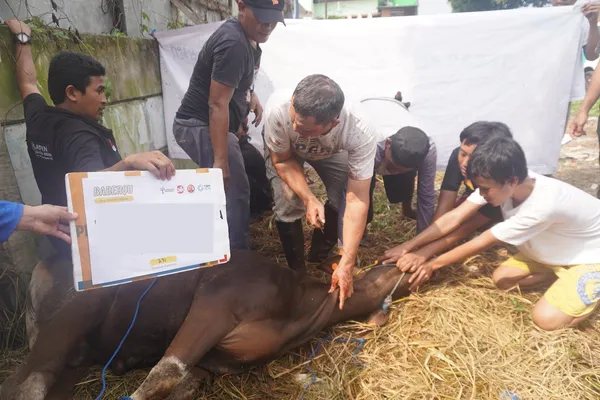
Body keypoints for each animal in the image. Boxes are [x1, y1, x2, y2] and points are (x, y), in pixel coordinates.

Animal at [0, 248, 410, 398]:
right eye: (391, 265)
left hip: (75, 355)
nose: (410, 265)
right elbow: (164, 373)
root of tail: (41, 267)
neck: (302, 307)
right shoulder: (217, 302)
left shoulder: (215, 363)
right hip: (77, 310)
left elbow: (183, 381)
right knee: (25, 383)